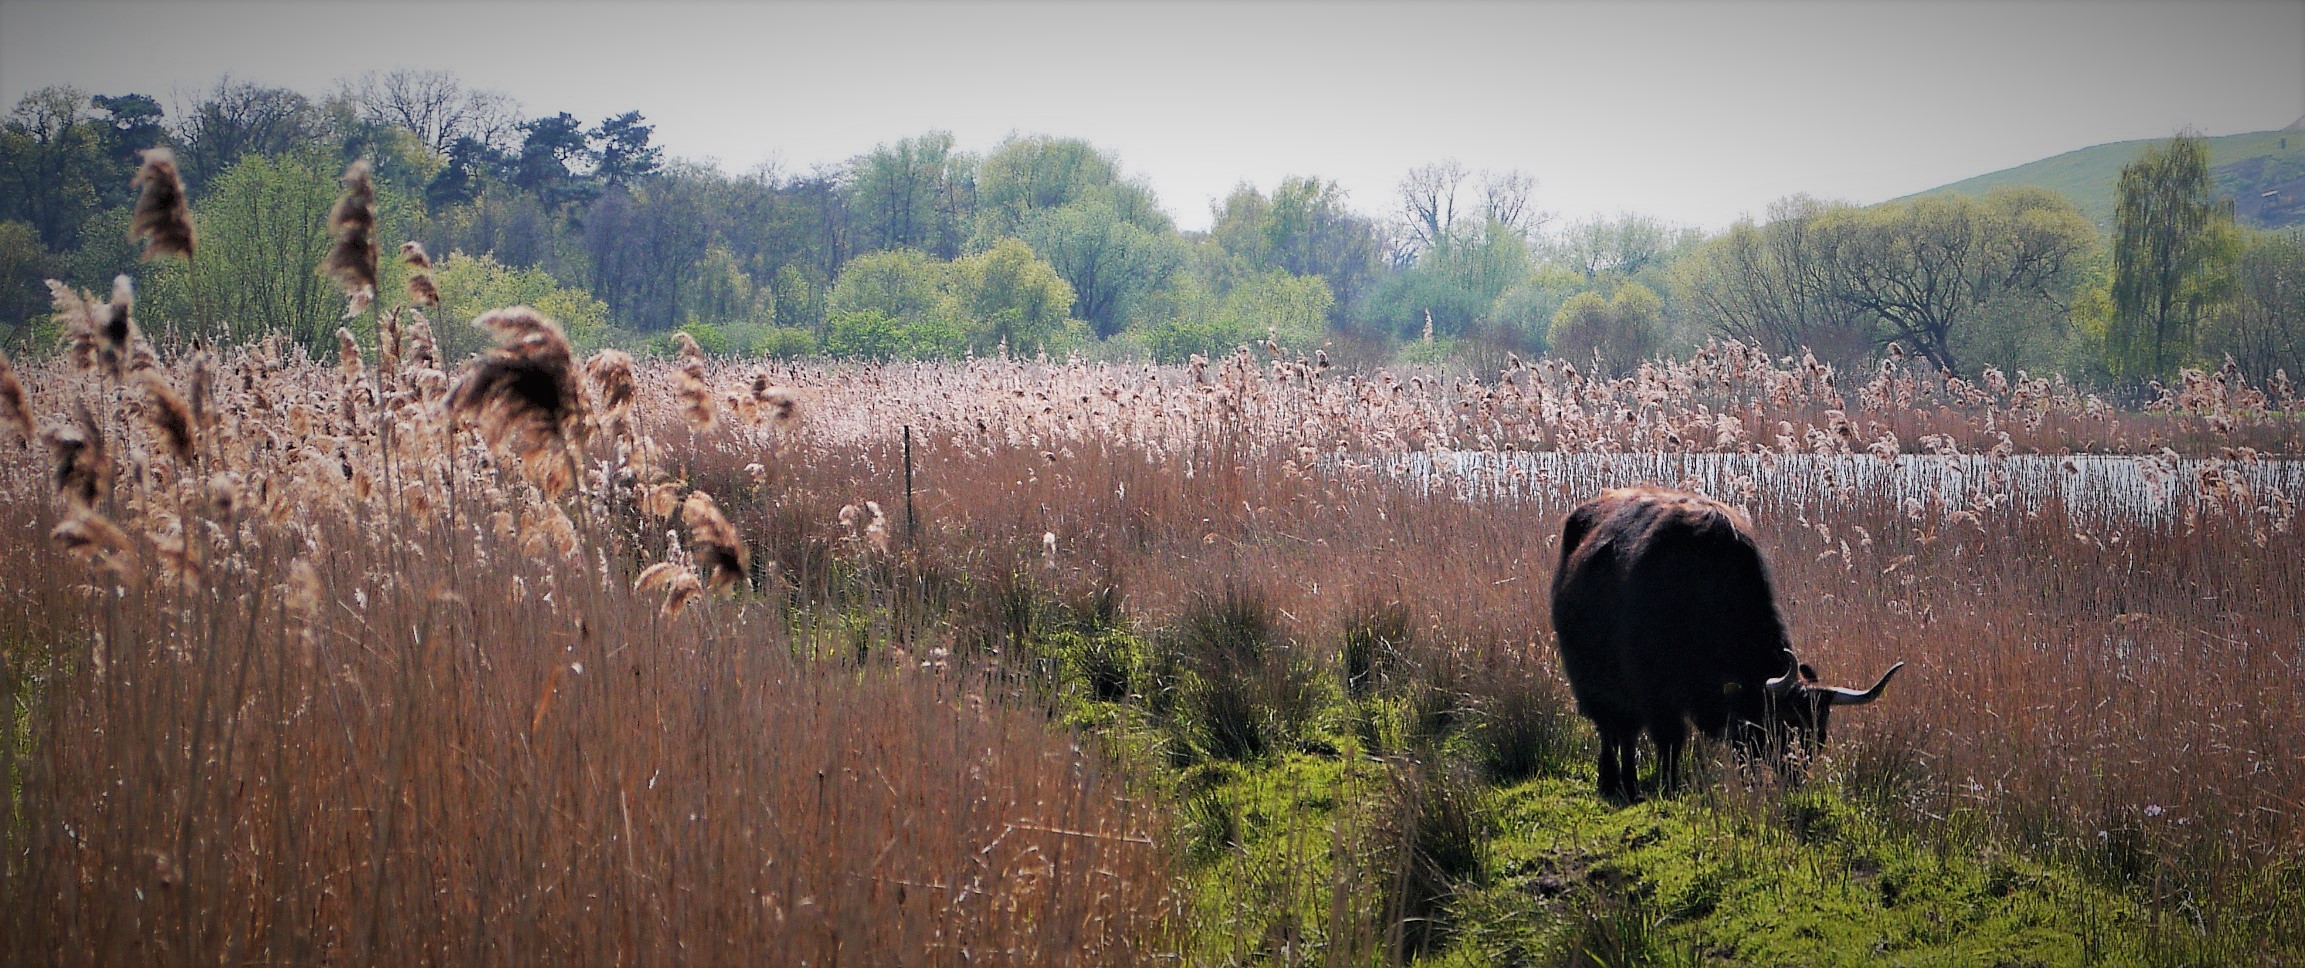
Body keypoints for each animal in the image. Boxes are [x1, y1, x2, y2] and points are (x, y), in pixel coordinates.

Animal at [1548, 488, 1908, 797]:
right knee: (1613, 729)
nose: (1795, 779)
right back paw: (1616, 781)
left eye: (1817, 734)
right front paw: (1669, 785)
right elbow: (1669, 740)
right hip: (1592, 682)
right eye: (1783, 726)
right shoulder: (1656, 692)